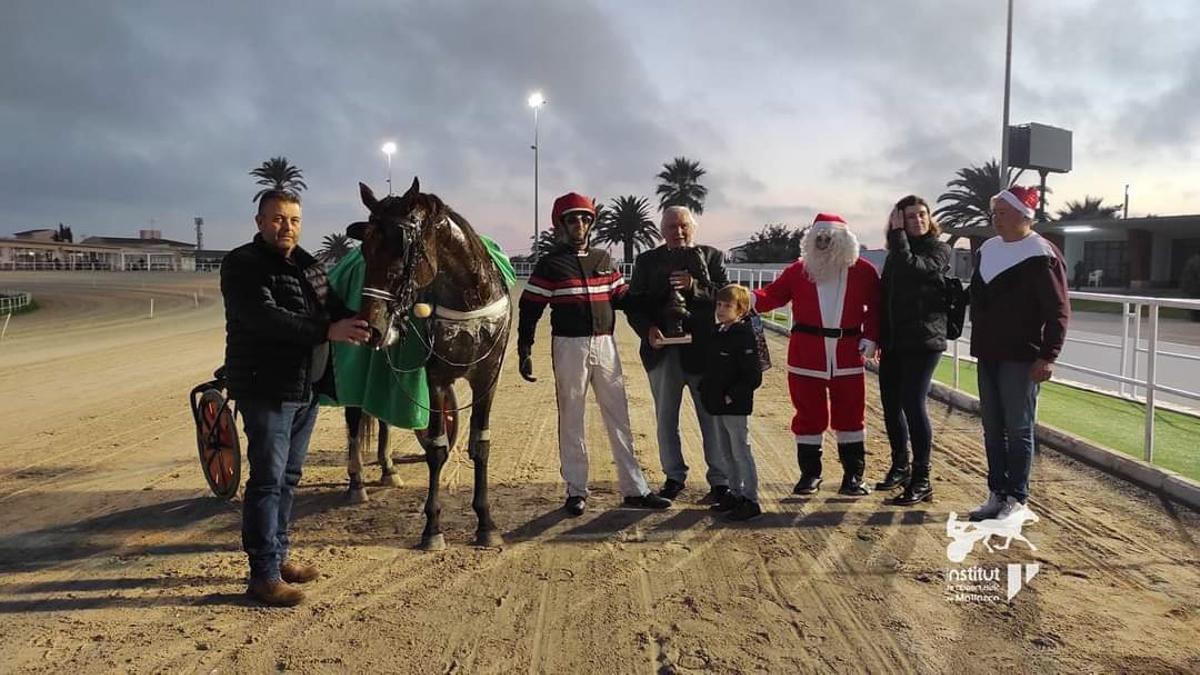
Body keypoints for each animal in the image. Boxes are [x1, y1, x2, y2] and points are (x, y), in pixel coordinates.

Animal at [345, 177, 508, 547]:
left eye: (401, 248)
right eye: (365, 249)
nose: (371, 327)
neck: (468, 301)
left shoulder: (487, 377)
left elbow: (481, 444)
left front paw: (486, 523)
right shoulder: (436, 378)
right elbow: (436, 447)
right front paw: (432, 527)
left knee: (384, 419)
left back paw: (388, 469)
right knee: (354, 417)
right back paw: (357, 483)